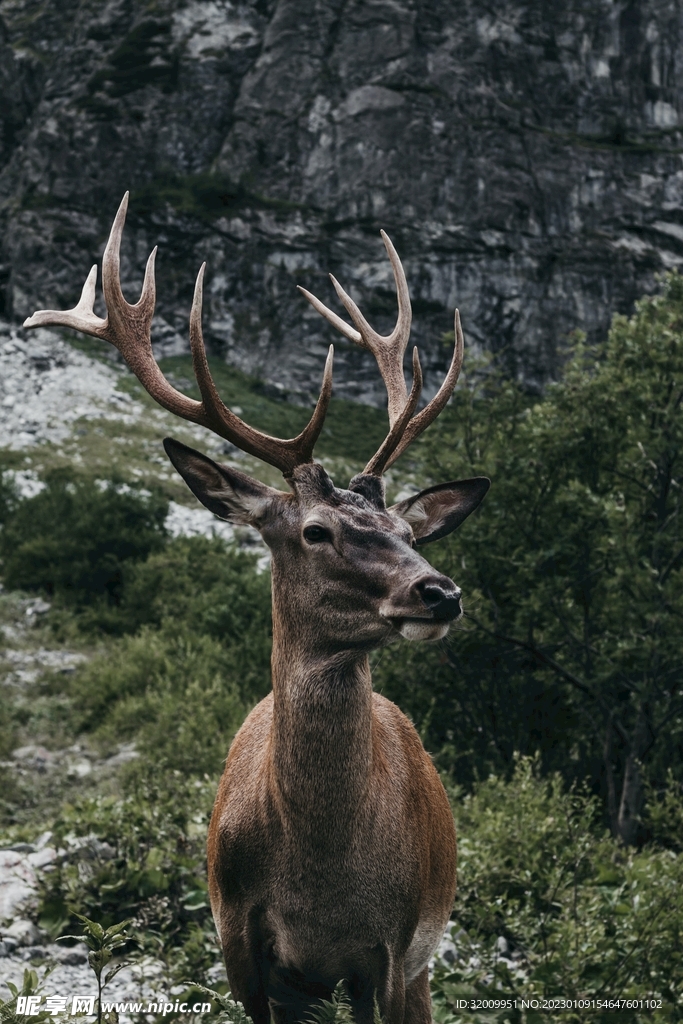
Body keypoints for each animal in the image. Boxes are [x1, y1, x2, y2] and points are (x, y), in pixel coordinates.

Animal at [24, 194, 489, 1024]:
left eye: (407, 533)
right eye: (315, 530)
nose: (439, 591)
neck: (319, 883)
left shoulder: (391, 948)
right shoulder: (237, 939)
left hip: (422, 962)